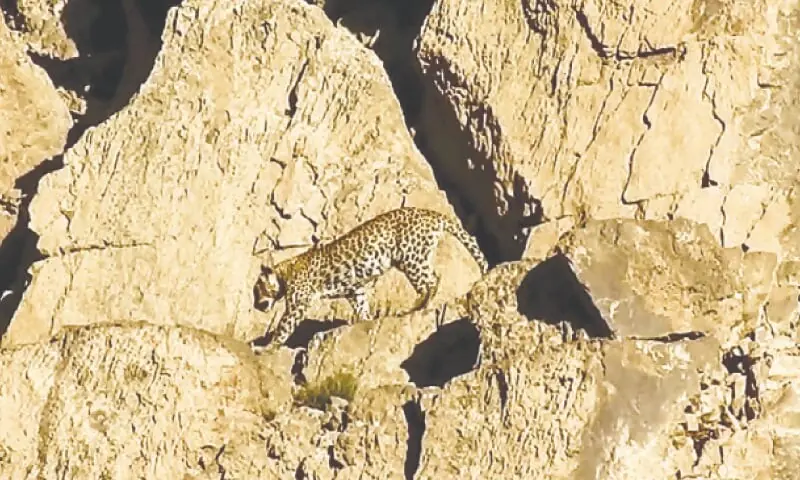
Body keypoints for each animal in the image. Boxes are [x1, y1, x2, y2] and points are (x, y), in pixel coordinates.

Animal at [253, 207, 489, 346]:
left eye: (258, 290)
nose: (256, 306)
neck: (284, 272)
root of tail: (432, 214)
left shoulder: (298, 303)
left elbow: (284, 327)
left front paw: (268, 347)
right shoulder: (355, 291)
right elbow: (362, 308)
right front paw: (365, 321)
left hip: (410, 257)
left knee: (431, 280)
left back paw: (418, 306)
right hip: (417, 256)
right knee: (434, 276)